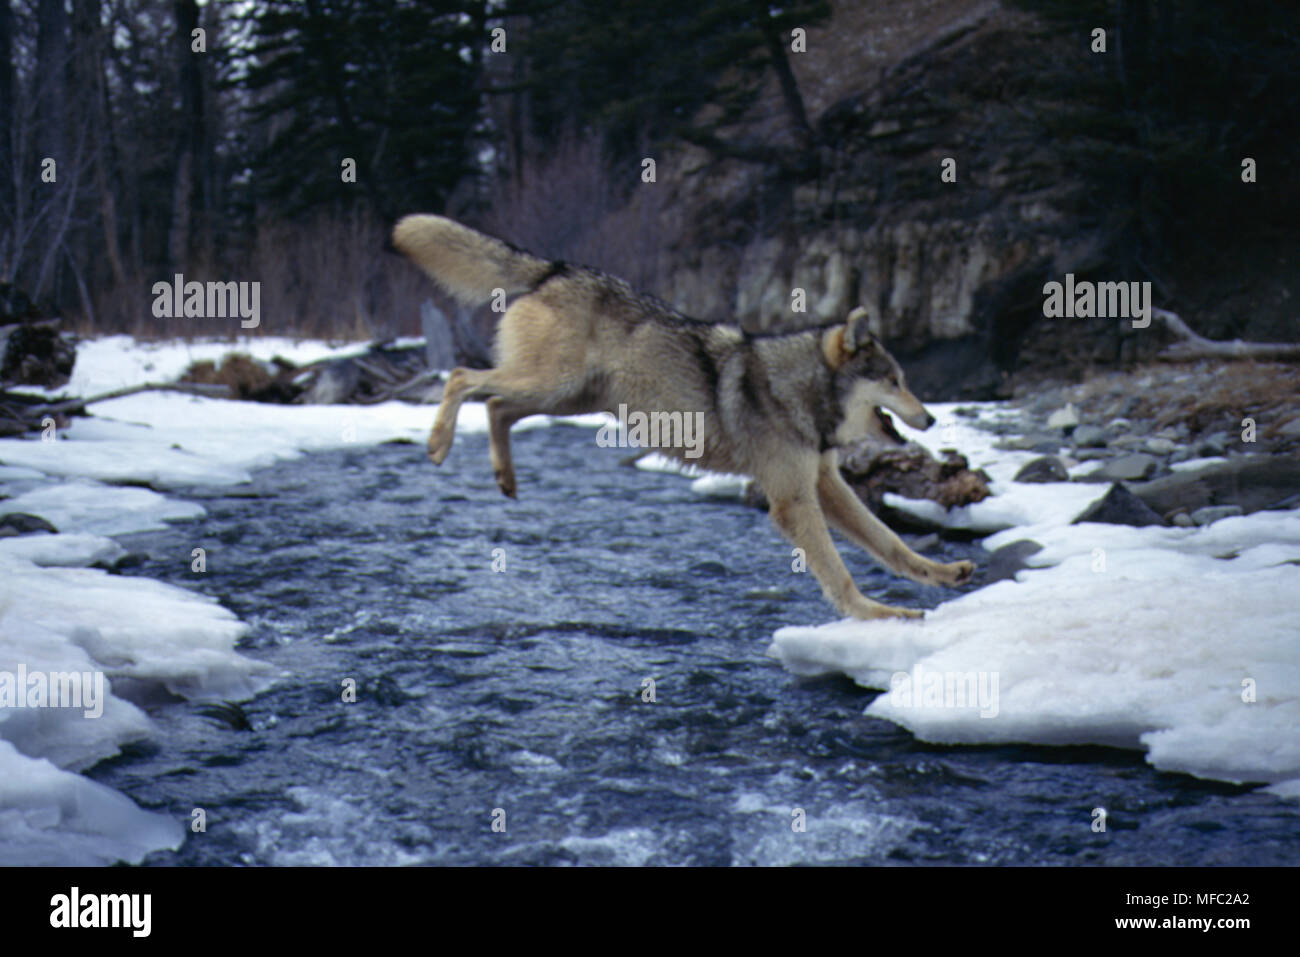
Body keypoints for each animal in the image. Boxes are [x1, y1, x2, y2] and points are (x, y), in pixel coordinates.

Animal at [392, 215, 973, 620]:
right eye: (893, 381)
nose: (930, 419)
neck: (795, 390)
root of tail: (557, 267)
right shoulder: (793, 500)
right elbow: (840, 572)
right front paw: (878, 615)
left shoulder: (825, 484)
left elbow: (890, 542)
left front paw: (942, 574)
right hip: (549, 386)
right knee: (462, 377)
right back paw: (438, 446)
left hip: (565, 398)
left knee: (495, 406)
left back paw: (505, 479)